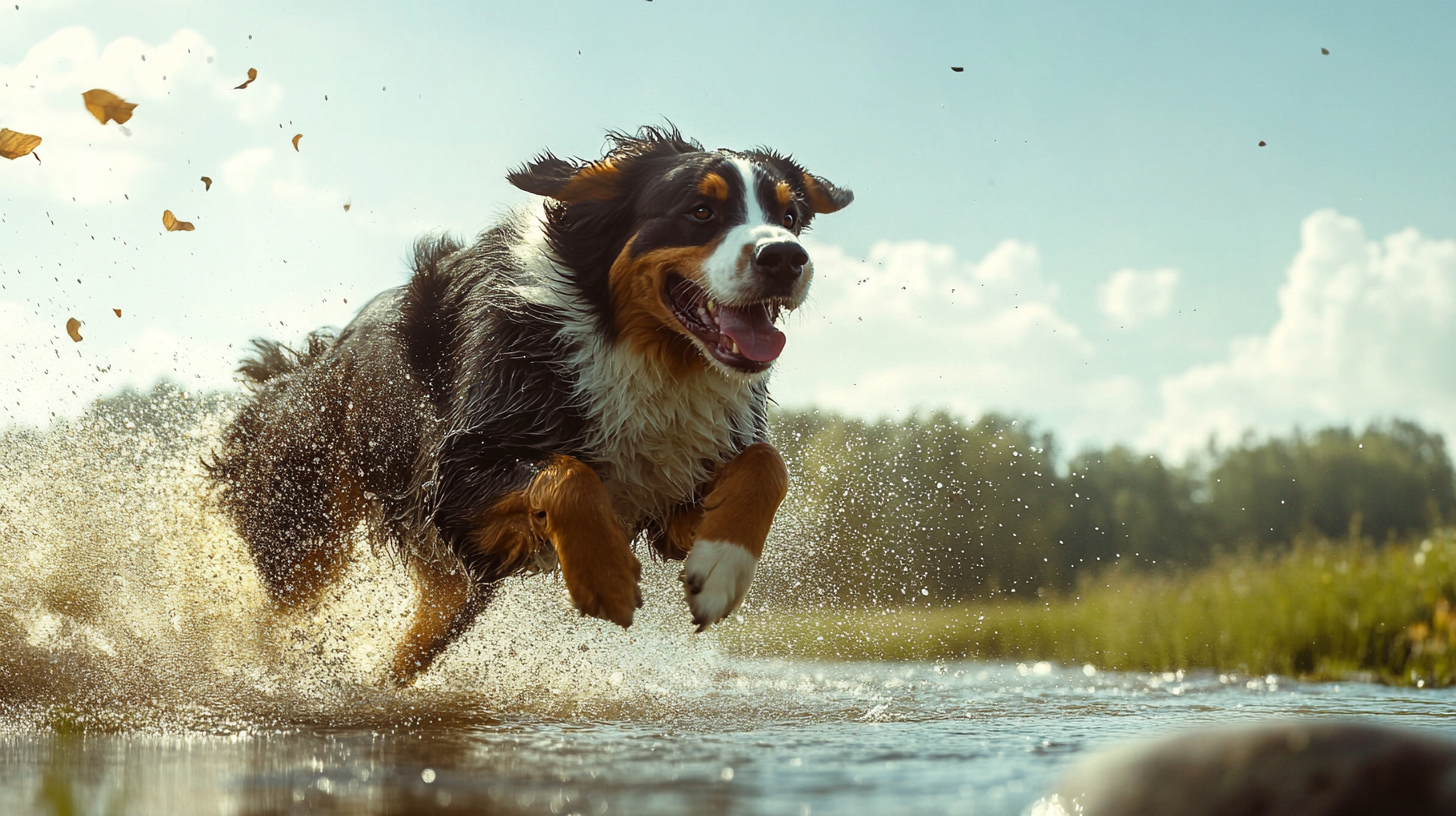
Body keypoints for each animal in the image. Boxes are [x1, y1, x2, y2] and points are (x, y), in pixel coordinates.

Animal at [211, 126, 856, 681]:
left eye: (790, 217)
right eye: (701, 211)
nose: (785, 258)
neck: (643, 354)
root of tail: (307, 364)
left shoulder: (673, 495)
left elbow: (767, 465)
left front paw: (721, 572)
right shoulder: (452, 471)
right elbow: (569, 475)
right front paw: (607, 579)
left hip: (458, 584)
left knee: (411, 642)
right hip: (303, 533)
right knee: (276, 613)